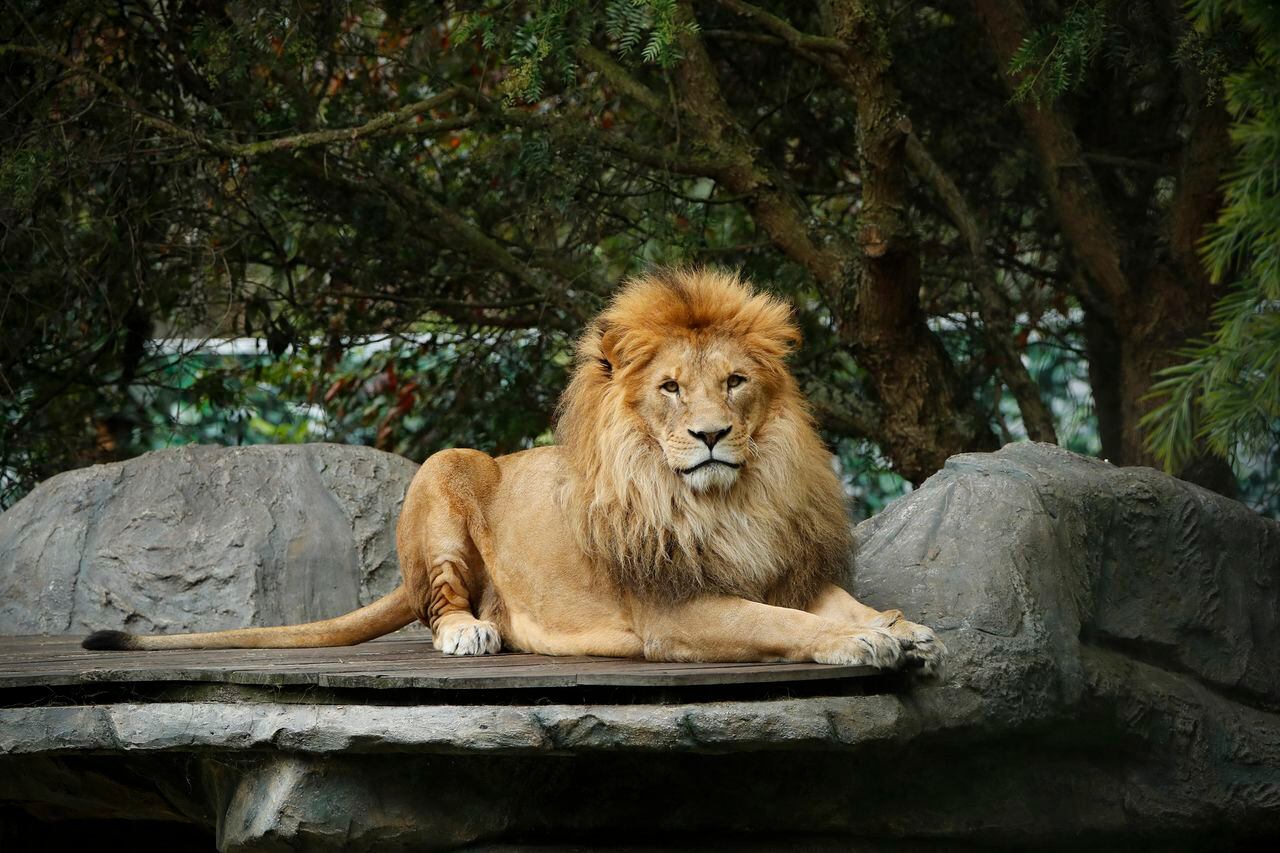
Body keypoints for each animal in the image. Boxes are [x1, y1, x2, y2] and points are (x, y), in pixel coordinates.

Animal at [80, 266, 942, 671]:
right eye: (670, 387)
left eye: (734, 381)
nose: (710, 435)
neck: (726, 500)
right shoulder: (675, 609)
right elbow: (783, 623)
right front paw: (864, 643)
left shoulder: (783, 566)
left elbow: (834, 602)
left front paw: (904, 628)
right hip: (444, 469)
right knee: (436, 605)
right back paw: (471, 631)